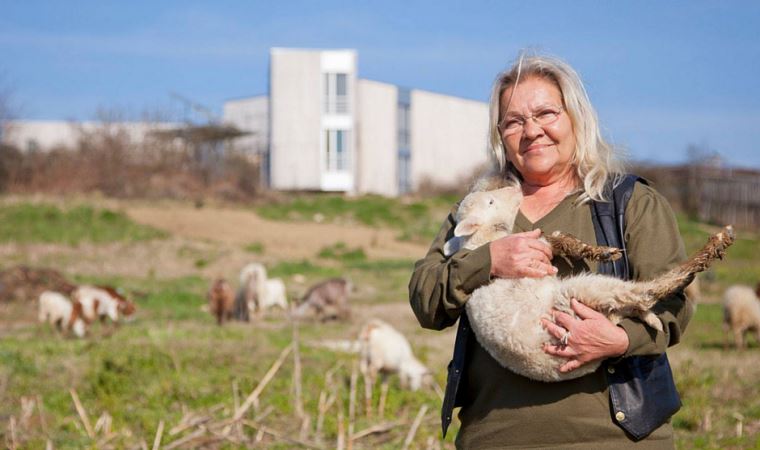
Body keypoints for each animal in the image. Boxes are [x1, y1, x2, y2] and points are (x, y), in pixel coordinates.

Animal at [442, 185, 732, 382]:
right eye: (491, 201)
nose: (515, 188)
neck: (484, 239)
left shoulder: (536, 245)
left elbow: (557, 238)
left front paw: (596, 251)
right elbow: (554, 239)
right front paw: (603, 252)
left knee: (638, 303)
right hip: (584, 292)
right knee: (646, 292)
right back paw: (714, 245)